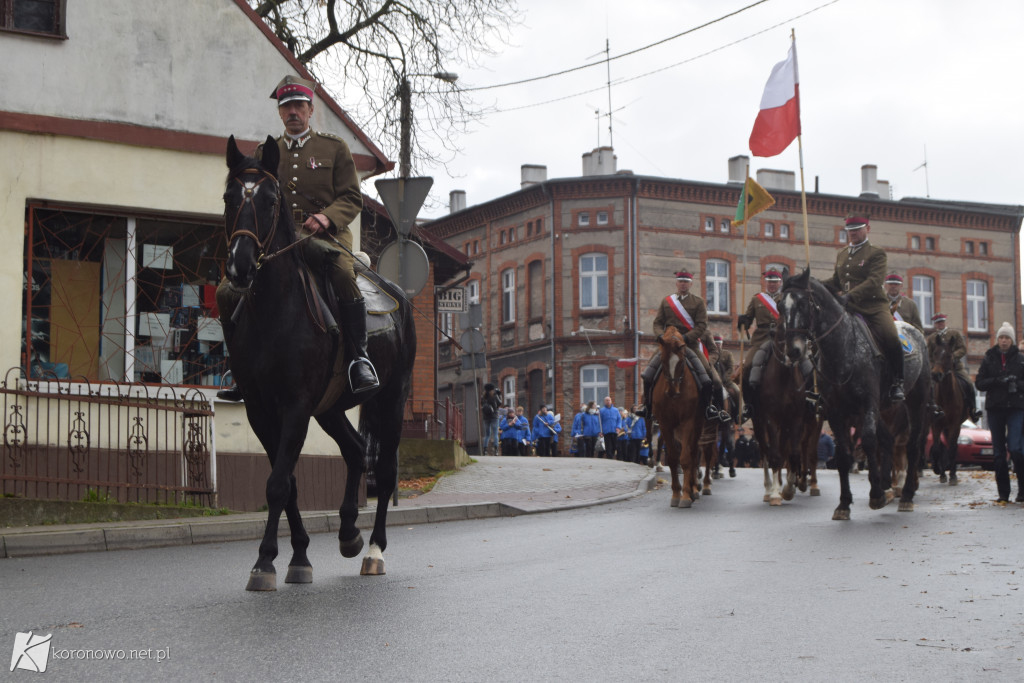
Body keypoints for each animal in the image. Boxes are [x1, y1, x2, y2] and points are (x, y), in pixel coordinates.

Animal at [224, 137, 415, 589]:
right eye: (228, 197)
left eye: (270, 199)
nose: (240, 267)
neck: (274, 311)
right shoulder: (260, 409)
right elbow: (288, 482)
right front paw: (298, 557)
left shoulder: (295, 406)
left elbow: (278, 483)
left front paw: (265, 562)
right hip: (329, 408)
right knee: (356, 450)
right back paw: (347, 532)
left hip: (390, 400)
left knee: (384, 468)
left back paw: (374, 551)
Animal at [655, 327, 704, 509]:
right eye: (662, 360)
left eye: (682, 362)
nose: (672, 392)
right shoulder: (665, 424)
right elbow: (672, 459)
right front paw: (676, 494)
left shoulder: (688, 422)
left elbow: (685, 458)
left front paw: (686, 496)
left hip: (697, 426)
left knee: (693, 453)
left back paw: (694, 490)